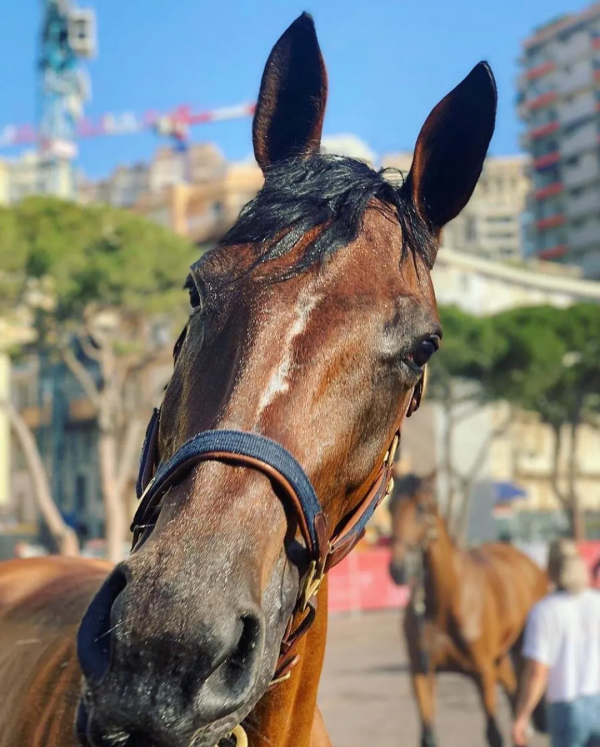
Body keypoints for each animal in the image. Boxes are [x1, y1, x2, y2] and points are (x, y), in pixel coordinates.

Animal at [388, 473, 549, 747]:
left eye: (421, 508)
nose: (398, 569)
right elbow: (428, 736)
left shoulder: (482, 673)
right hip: (499, 658)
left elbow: (494, 734)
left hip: (519, 648)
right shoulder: (422, 672)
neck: (445, 603)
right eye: (390, 507)